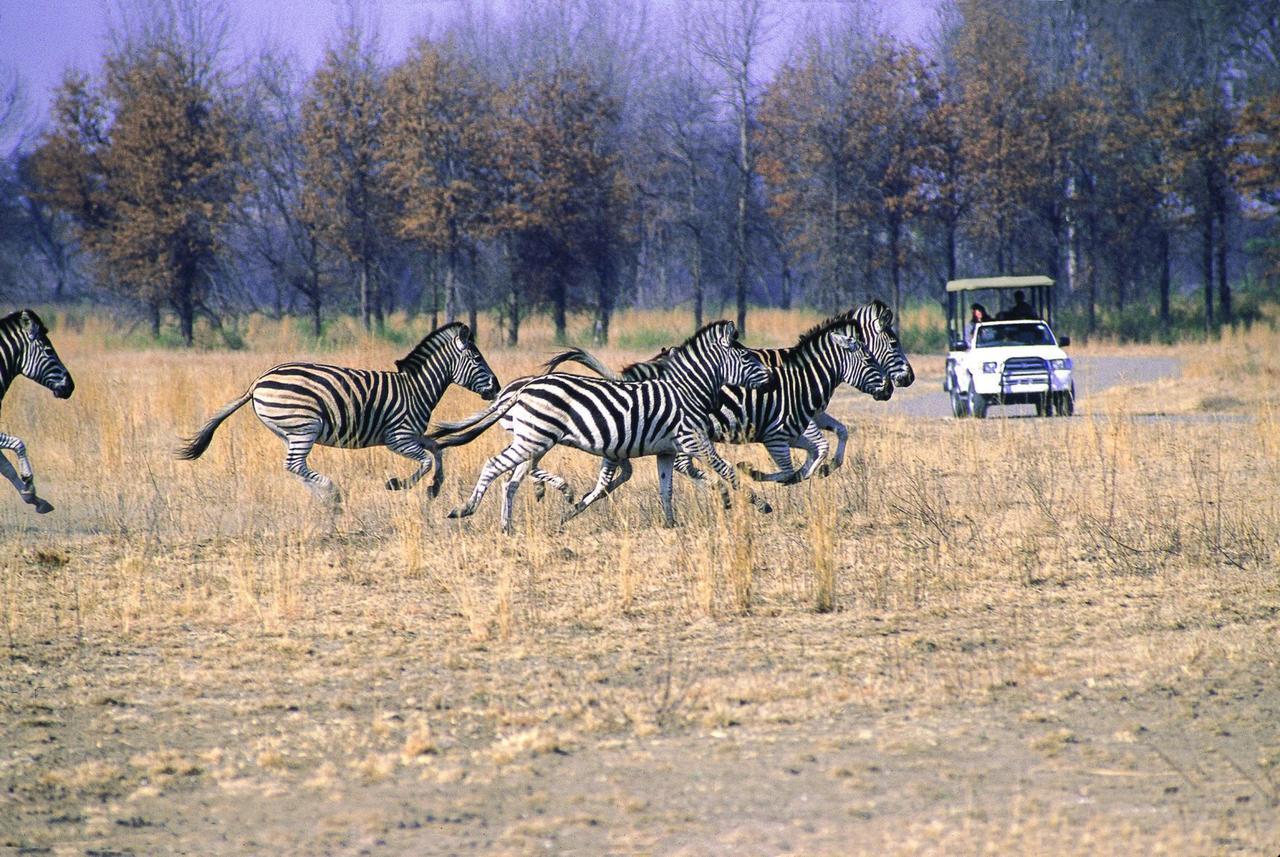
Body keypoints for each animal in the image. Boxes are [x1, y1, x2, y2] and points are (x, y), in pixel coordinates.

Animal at [0, 310, 74, 516]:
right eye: (49, 351)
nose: (71, 386)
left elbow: (6, 467)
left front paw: (34, 498)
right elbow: (19, 443)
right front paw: (28, 482)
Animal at [177, 326, 496, 506]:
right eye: (477, 359)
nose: (497, 386)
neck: (416, 388)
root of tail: (258, 381)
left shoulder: (413, 435)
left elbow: (437, 451)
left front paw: (434, 488)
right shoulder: (398, 438)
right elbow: (428, 460)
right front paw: (398, 484)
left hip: (289, 432)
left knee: (294, 467)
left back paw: (324, 498)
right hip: (305, 426)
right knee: (294, 464)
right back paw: (331, 493)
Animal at [430, 322, 768, 534]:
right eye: (746, 356)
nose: (770, 378)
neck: (686, 390)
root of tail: (521, 389)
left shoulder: (664, 451)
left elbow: (665, 488)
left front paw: (671, 523)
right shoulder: (693, 441)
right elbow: (727, 471)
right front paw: (760, 503)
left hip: (532, 439)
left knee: (511, 481)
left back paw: (507, 525)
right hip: (534, 439)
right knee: (494, 466)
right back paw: (465, 509)